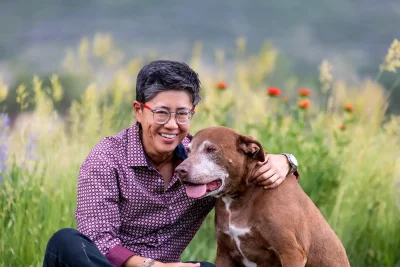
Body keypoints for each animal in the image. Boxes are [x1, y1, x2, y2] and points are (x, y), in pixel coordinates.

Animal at [177, 127, 348, 267]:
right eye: (188, 150)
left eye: (211, 149)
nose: (180, 170)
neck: (240, 197)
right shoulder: (224, 254)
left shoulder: (291, 253)